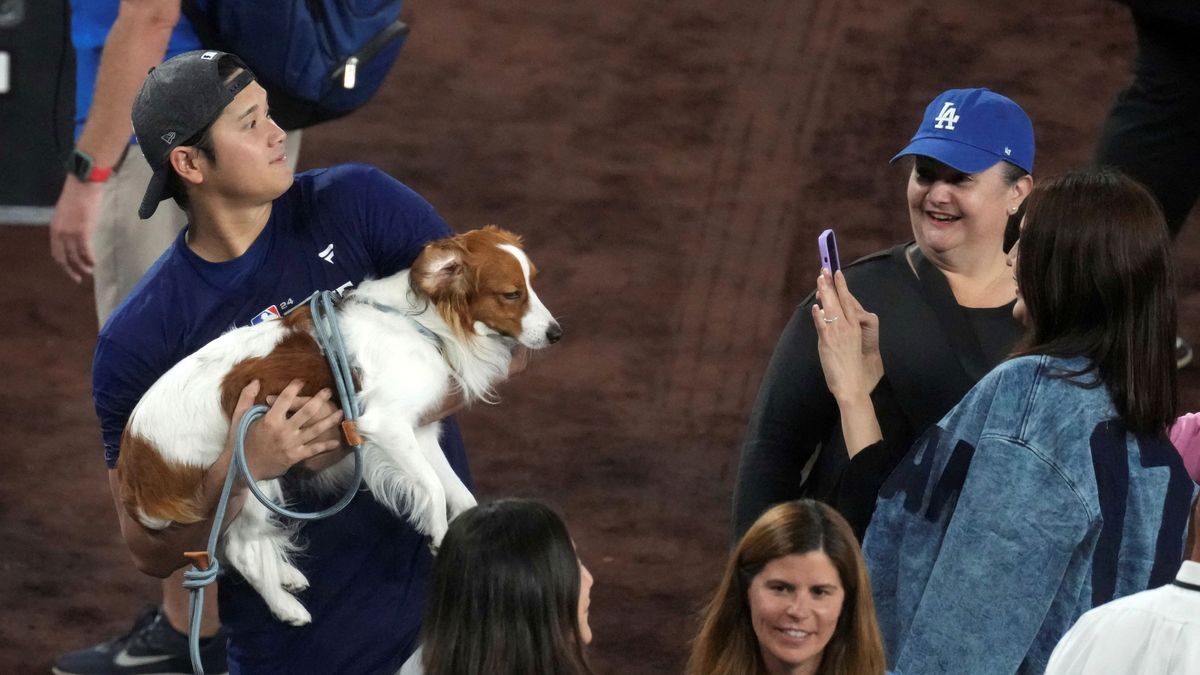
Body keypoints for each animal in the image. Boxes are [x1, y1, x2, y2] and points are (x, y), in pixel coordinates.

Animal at [114, 224, 559, 619]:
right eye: (512, 294)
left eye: (534, 284)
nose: (556, 333)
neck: (416, 321)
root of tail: (134, 453)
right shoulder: (385, 424)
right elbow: (433, 487)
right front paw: (436, 533)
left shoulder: (419, 432)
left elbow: (459, 494)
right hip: (249, 474)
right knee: (240, 549)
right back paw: (287, 608)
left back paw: (286, 576)